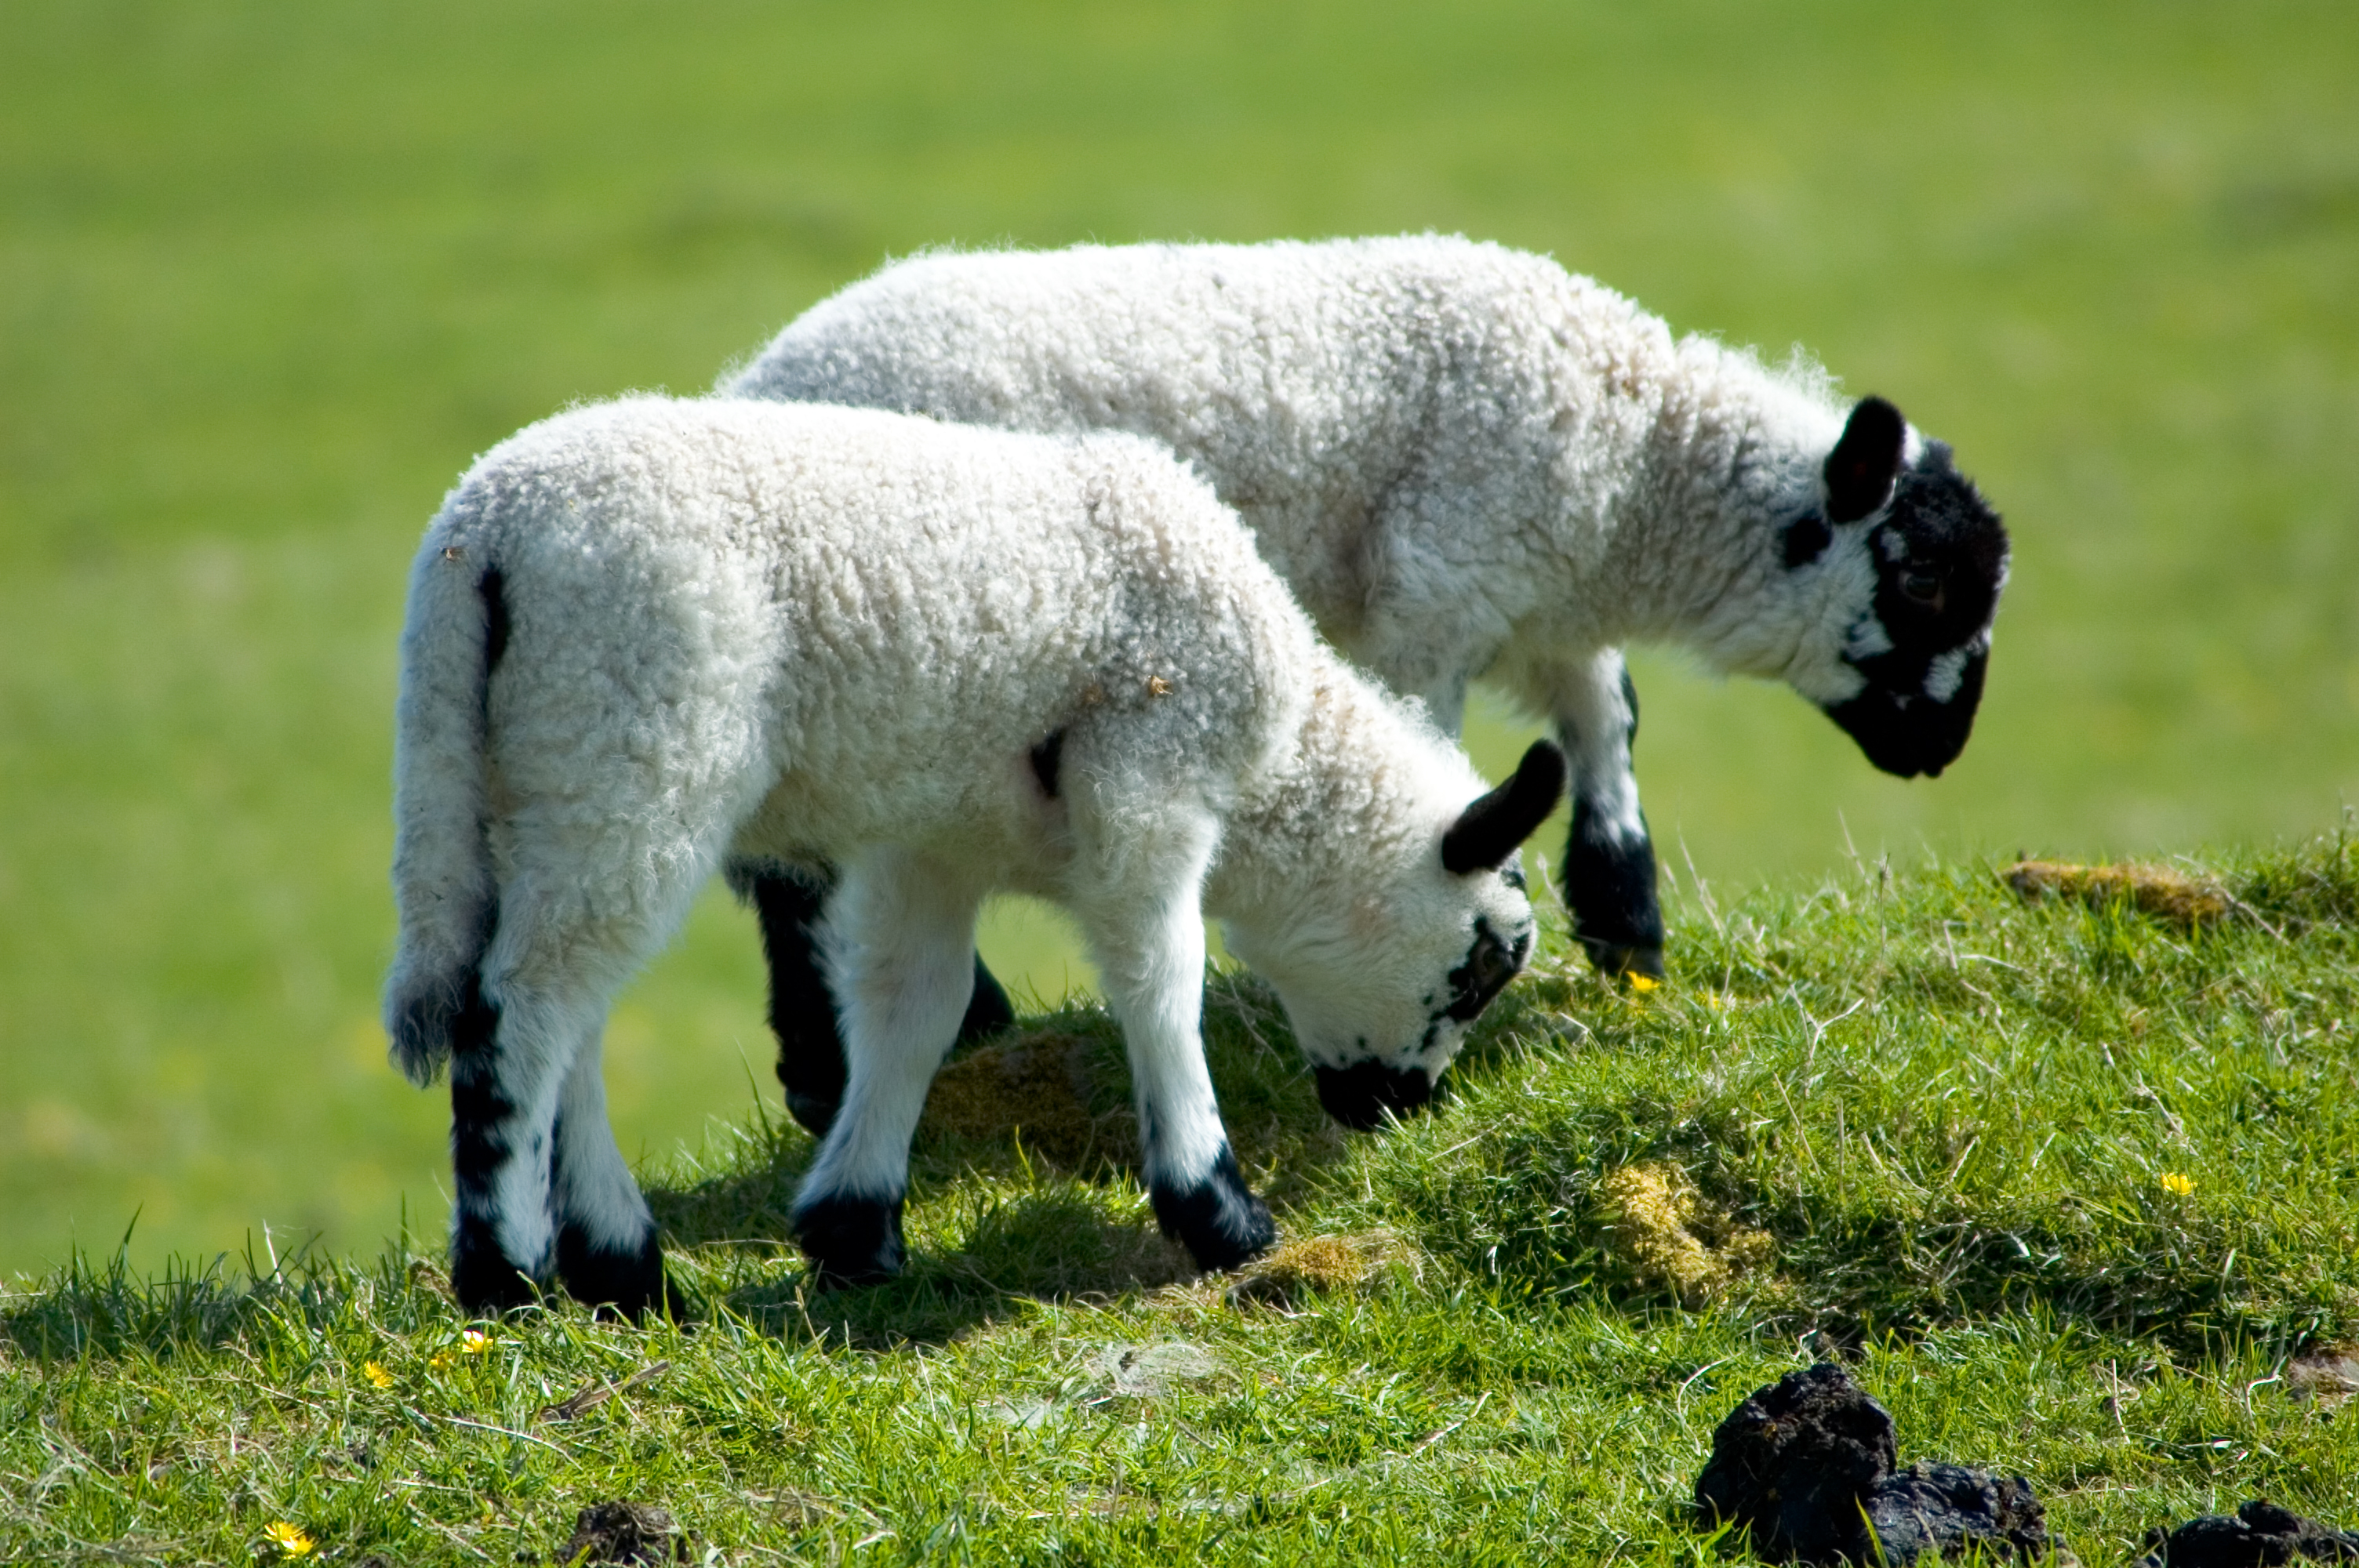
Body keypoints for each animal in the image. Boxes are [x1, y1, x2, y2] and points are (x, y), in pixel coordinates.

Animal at [382, 391, 1566, 1311]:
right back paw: (508, 1275)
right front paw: (1217, 1212)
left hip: (527, 777)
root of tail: (482, 535)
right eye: (1477, 970)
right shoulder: (1147, 778)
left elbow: (914, 1009)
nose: (1399, 1112)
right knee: (524, 1015)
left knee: (567, 1012)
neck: (1274, 766)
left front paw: (854, 1229)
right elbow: (1161, 980)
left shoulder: (936, 838)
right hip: (630, 737)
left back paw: (620, 1269)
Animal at [722, 230, 2009, 1127]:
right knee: (792, 870)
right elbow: (1454, 754)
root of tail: (752, 383)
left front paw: (1626, 923)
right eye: (1921, 582)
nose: (1941, 749)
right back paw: (836, 1065)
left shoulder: (1537, 596)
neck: (1630, 460)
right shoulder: (1440, 586)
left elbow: (1605, 718)